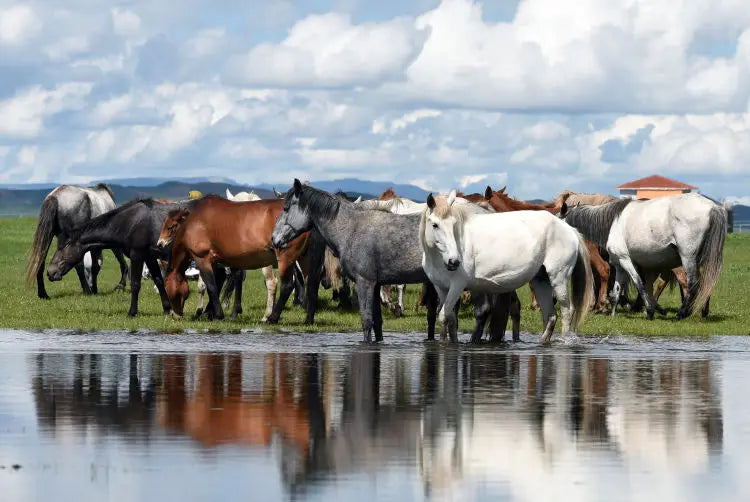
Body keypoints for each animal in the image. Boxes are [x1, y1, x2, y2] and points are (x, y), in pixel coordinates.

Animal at [47, 198, 198, 316]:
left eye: (63, 247)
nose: (50, 272)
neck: (130, 222)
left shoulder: (137, 255)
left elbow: (135, 284)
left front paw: (132, 312)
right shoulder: (149, 257)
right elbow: (159, 281)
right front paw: (167, 310)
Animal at [163, 196, 317, 321]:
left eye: (170, 227)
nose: (174, 314)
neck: (194, 222)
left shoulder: (202, 258)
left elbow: (211, 286)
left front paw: (217, 315)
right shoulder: (217, 262)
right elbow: (219, 284)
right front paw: (212, 312)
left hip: (285, 258)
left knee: (287, 286)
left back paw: (272, 317)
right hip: (303, 258)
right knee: (310, 283)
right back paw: (308, 318)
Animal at [420, 191, 594, 344]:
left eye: (454, 224)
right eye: (435, 225)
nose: (454, 261)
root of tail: (568, 229)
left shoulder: (457, 286)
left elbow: (443, 316)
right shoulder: (441, 288)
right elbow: (450, 319)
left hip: (559, 279)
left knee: (566, 312)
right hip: (540, 281)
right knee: (550, 315)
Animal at [560, 193, 726, 320]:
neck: (613, 222)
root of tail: (713, 207)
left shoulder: (626, 260)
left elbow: (639, 283)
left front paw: (650, 310)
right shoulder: (619, 265)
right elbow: (617, 289)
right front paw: (613, 314)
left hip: (688, 258)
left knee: (693, 283)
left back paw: (681, 314)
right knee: (704, 283)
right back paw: (700, 311)